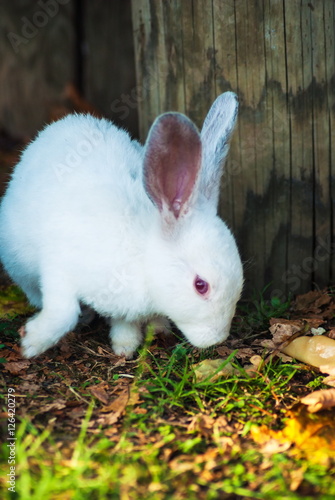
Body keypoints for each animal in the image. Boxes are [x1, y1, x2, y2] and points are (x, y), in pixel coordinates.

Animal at [0, 92, 244, 360]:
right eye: (201, 286)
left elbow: (123, 321)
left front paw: (125, 345)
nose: (217, 339)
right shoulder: (59, 269)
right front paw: (31, 343)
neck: (143, 259)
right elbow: (63, 313)